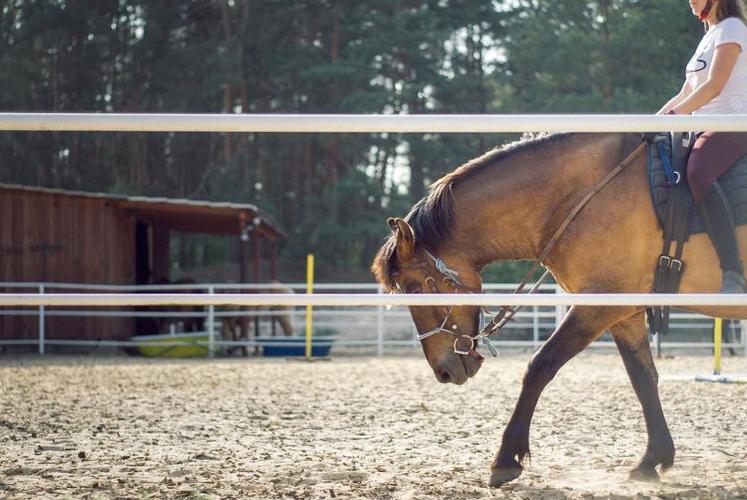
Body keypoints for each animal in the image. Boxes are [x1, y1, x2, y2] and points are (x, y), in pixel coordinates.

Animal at [372, 133, 744, 488]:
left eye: (415, 289)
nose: (444, 371)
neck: (582, 195)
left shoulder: (598, 306)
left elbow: (540, 366)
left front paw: (505, 460)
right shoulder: (623, 313)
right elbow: (643, 378)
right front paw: (652, 459)